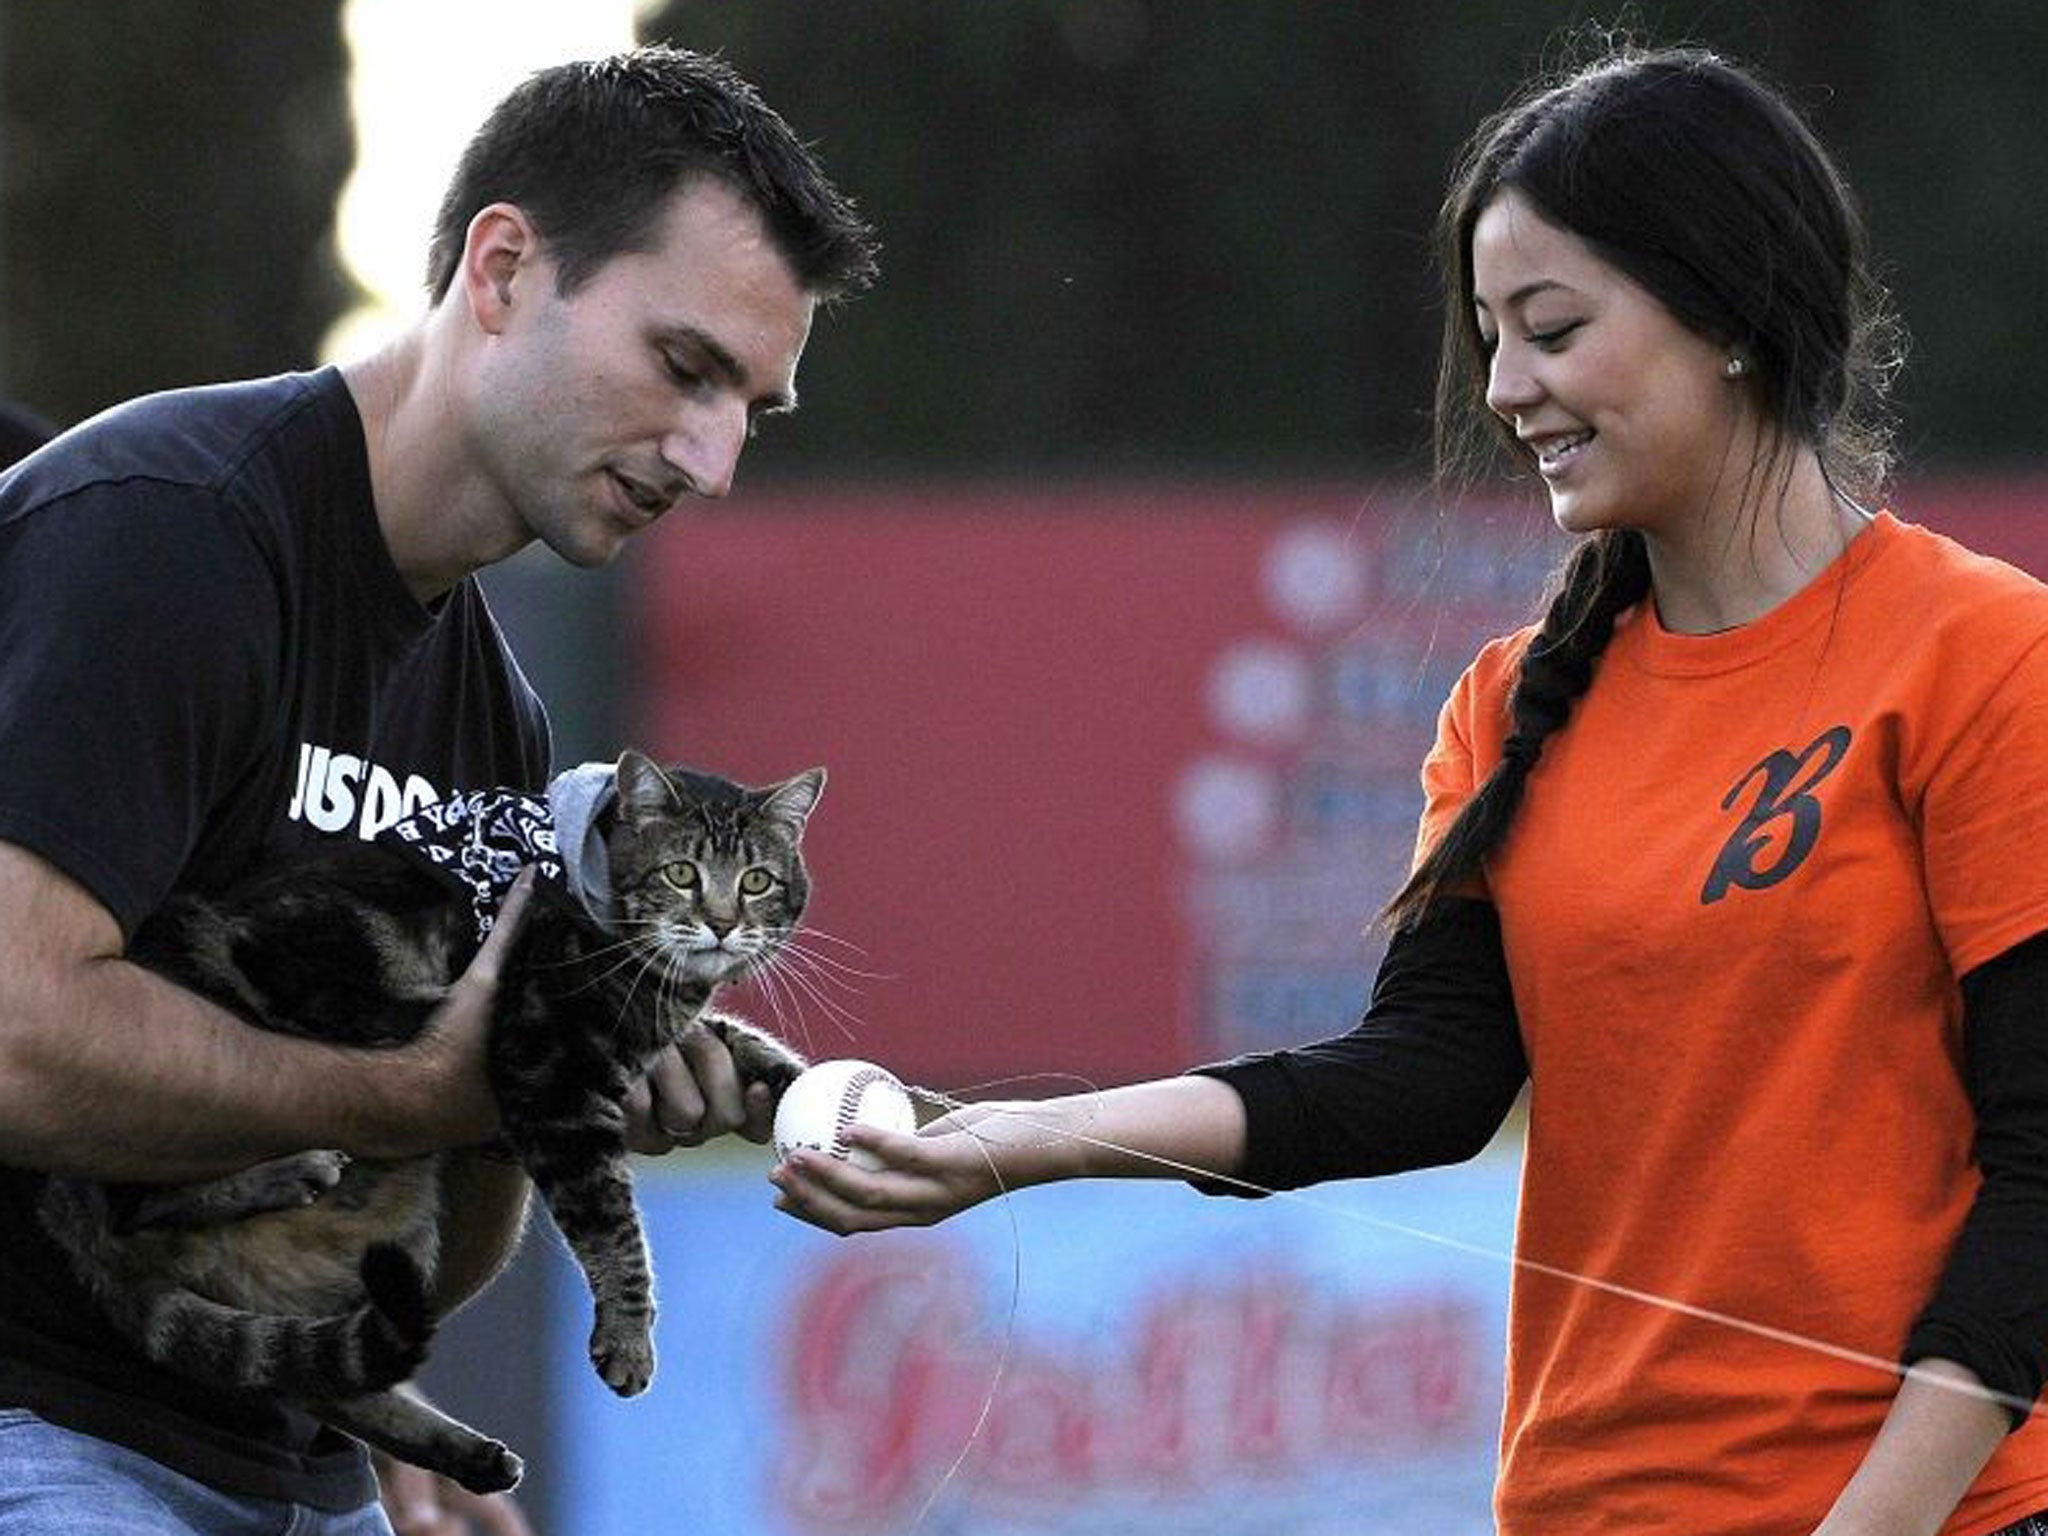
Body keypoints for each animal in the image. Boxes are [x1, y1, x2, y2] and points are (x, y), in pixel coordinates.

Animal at [36, 753, 819, 1499]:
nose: (722, 923)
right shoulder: (553, 1076)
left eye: (756, 881)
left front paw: (807, 1083)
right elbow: (613, 1228)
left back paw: (460, 1450)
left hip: (399, 1230)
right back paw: (285, 1170)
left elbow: (738, 1042)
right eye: (682, 873)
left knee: (314, 1378)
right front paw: (628, 1339)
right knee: (135, 1199)